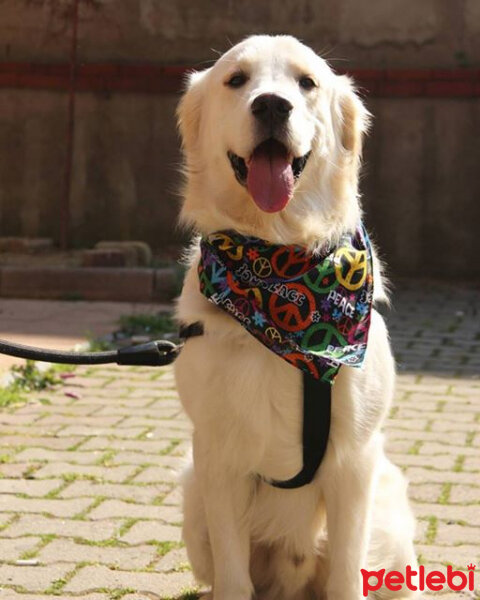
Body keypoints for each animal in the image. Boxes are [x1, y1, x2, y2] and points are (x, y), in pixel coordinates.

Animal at [174, 34, 418, 600]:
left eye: (306, 82)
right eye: (236, 79)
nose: (271, 105)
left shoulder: (355, 460)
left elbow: (348, 572)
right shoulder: (216, 457)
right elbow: (234, 576)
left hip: (390, 509)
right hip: (192, 493)